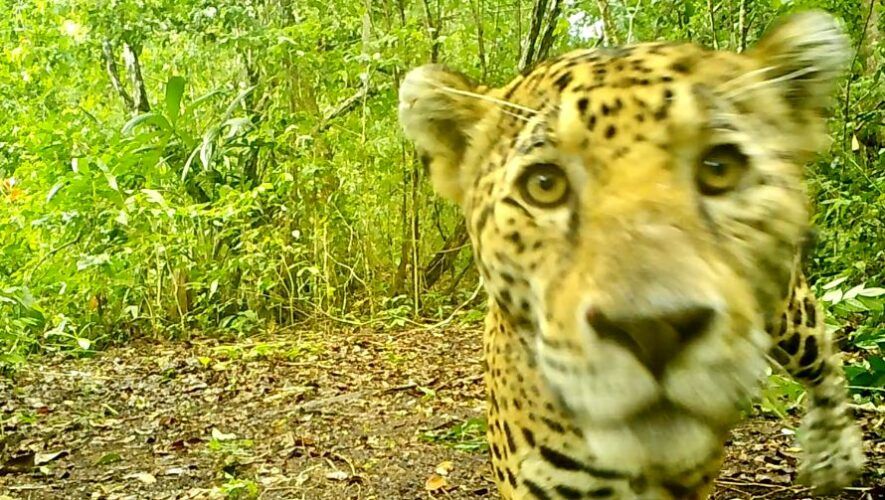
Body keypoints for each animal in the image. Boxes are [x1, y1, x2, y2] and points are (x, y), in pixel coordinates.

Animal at [397, 10, 865, 500]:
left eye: (719, 168)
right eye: (544, 185)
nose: (653, 329)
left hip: (789, 313)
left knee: (822, 354)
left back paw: (835, 455)